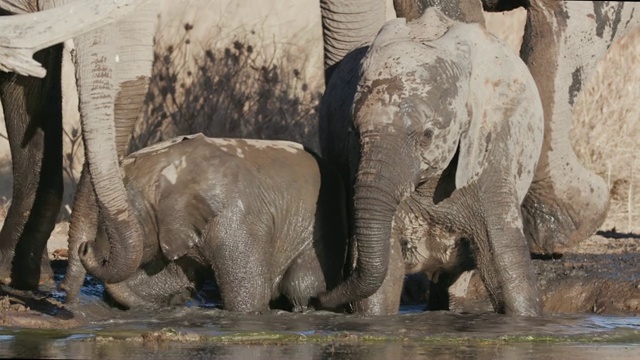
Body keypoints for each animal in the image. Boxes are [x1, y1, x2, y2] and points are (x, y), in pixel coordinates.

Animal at [318, 8, 544, 316]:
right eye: (354, 130)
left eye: (427, 135)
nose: (319, 297)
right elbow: (383, 279)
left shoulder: (493, 147)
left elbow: (506, 265)